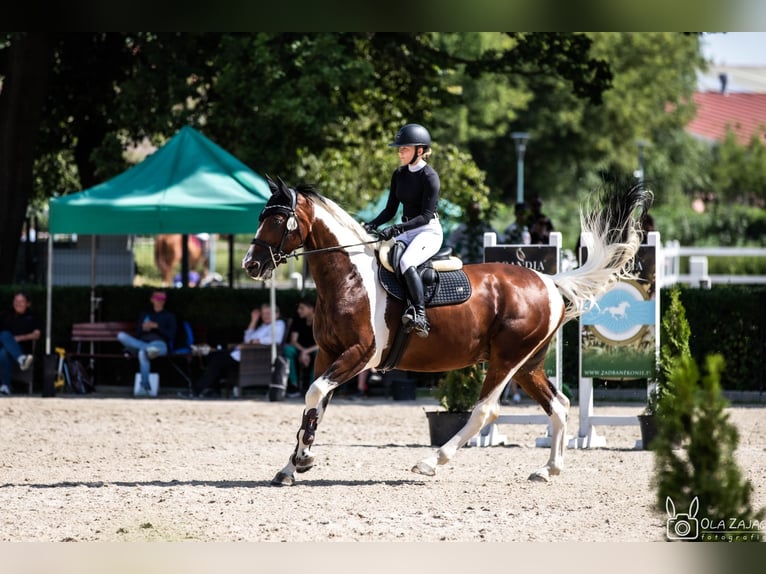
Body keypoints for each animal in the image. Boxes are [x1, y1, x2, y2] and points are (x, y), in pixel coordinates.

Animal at [243, 178, 652, 488]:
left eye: (277, 220)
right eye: (261, 217)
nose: (251, 265)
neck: (349, 278)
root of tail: (549, 281)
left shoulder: (360, 354)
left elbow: (314, 394)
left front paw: (302, 460)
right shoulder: (329, 354)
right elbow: (314, 406)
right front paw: (294, 463)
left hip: (506, 361)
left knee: (486, 411)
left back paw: (431, 461)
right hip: (527, 364)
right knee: (559, 406)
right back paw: (548, 469)